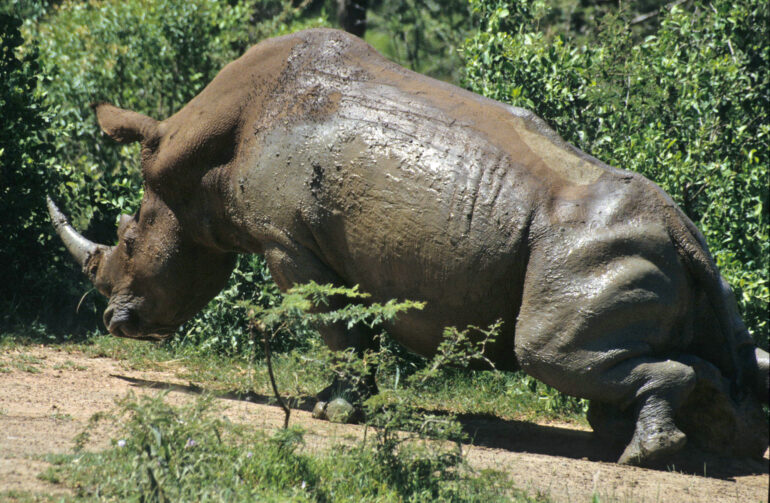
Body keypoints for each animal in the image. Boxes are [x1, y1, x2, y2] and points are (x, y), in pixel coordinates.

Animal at [48, 28, 768, 465]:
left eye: (130, 238)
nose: (117, 322)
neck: (197, 160)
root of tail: (683, 233)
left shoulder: (288, 241)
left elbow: (335, 325)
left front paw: (334, 410)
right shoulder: (322, 244)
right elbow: (356, 327)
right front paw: (347, 402)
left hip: (588, 254)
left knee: (549, 354)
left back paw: (641, 453)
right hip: (659, 257)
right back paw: (680, 438)